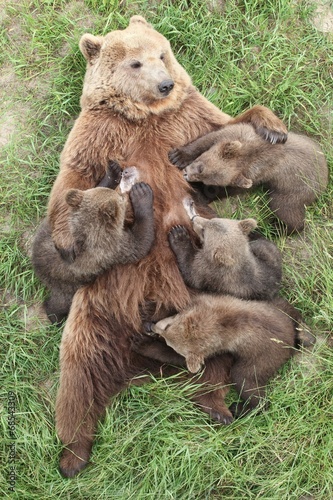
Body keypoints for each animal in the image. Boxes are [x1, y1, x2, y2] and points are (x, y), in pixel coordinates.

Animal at [31, 180, 155, 324]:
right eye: (120, 198)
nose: (123, 194)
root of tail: (35, 263)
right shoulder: (113, 247)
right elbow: (140, 243)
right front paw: (142, 193)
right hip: (66, 283)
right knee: (60, 302)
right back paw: (55, 316)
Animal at [145, 292, 298, 418]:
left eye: (171, 344)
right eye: (168, 326)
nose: (153, 327)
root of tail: (290, 340)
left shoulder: (217, 349)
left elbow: (176, 358)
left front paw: (148, 346)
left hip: (263, 358)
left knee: (246, 380)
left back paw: (240, 408)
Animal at [169, 121, 326, 232]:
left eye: (210, 181)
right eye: (201, 167)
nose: (186, 175)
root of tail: (324, 180)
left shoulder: (258, 174)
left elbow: (231, 189)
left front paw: (200, 192)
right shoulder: (230, 134)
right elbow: (204, 140)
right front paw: (178, 156)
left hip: (292, 190)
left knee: (287, 211)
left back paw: (273, 228)